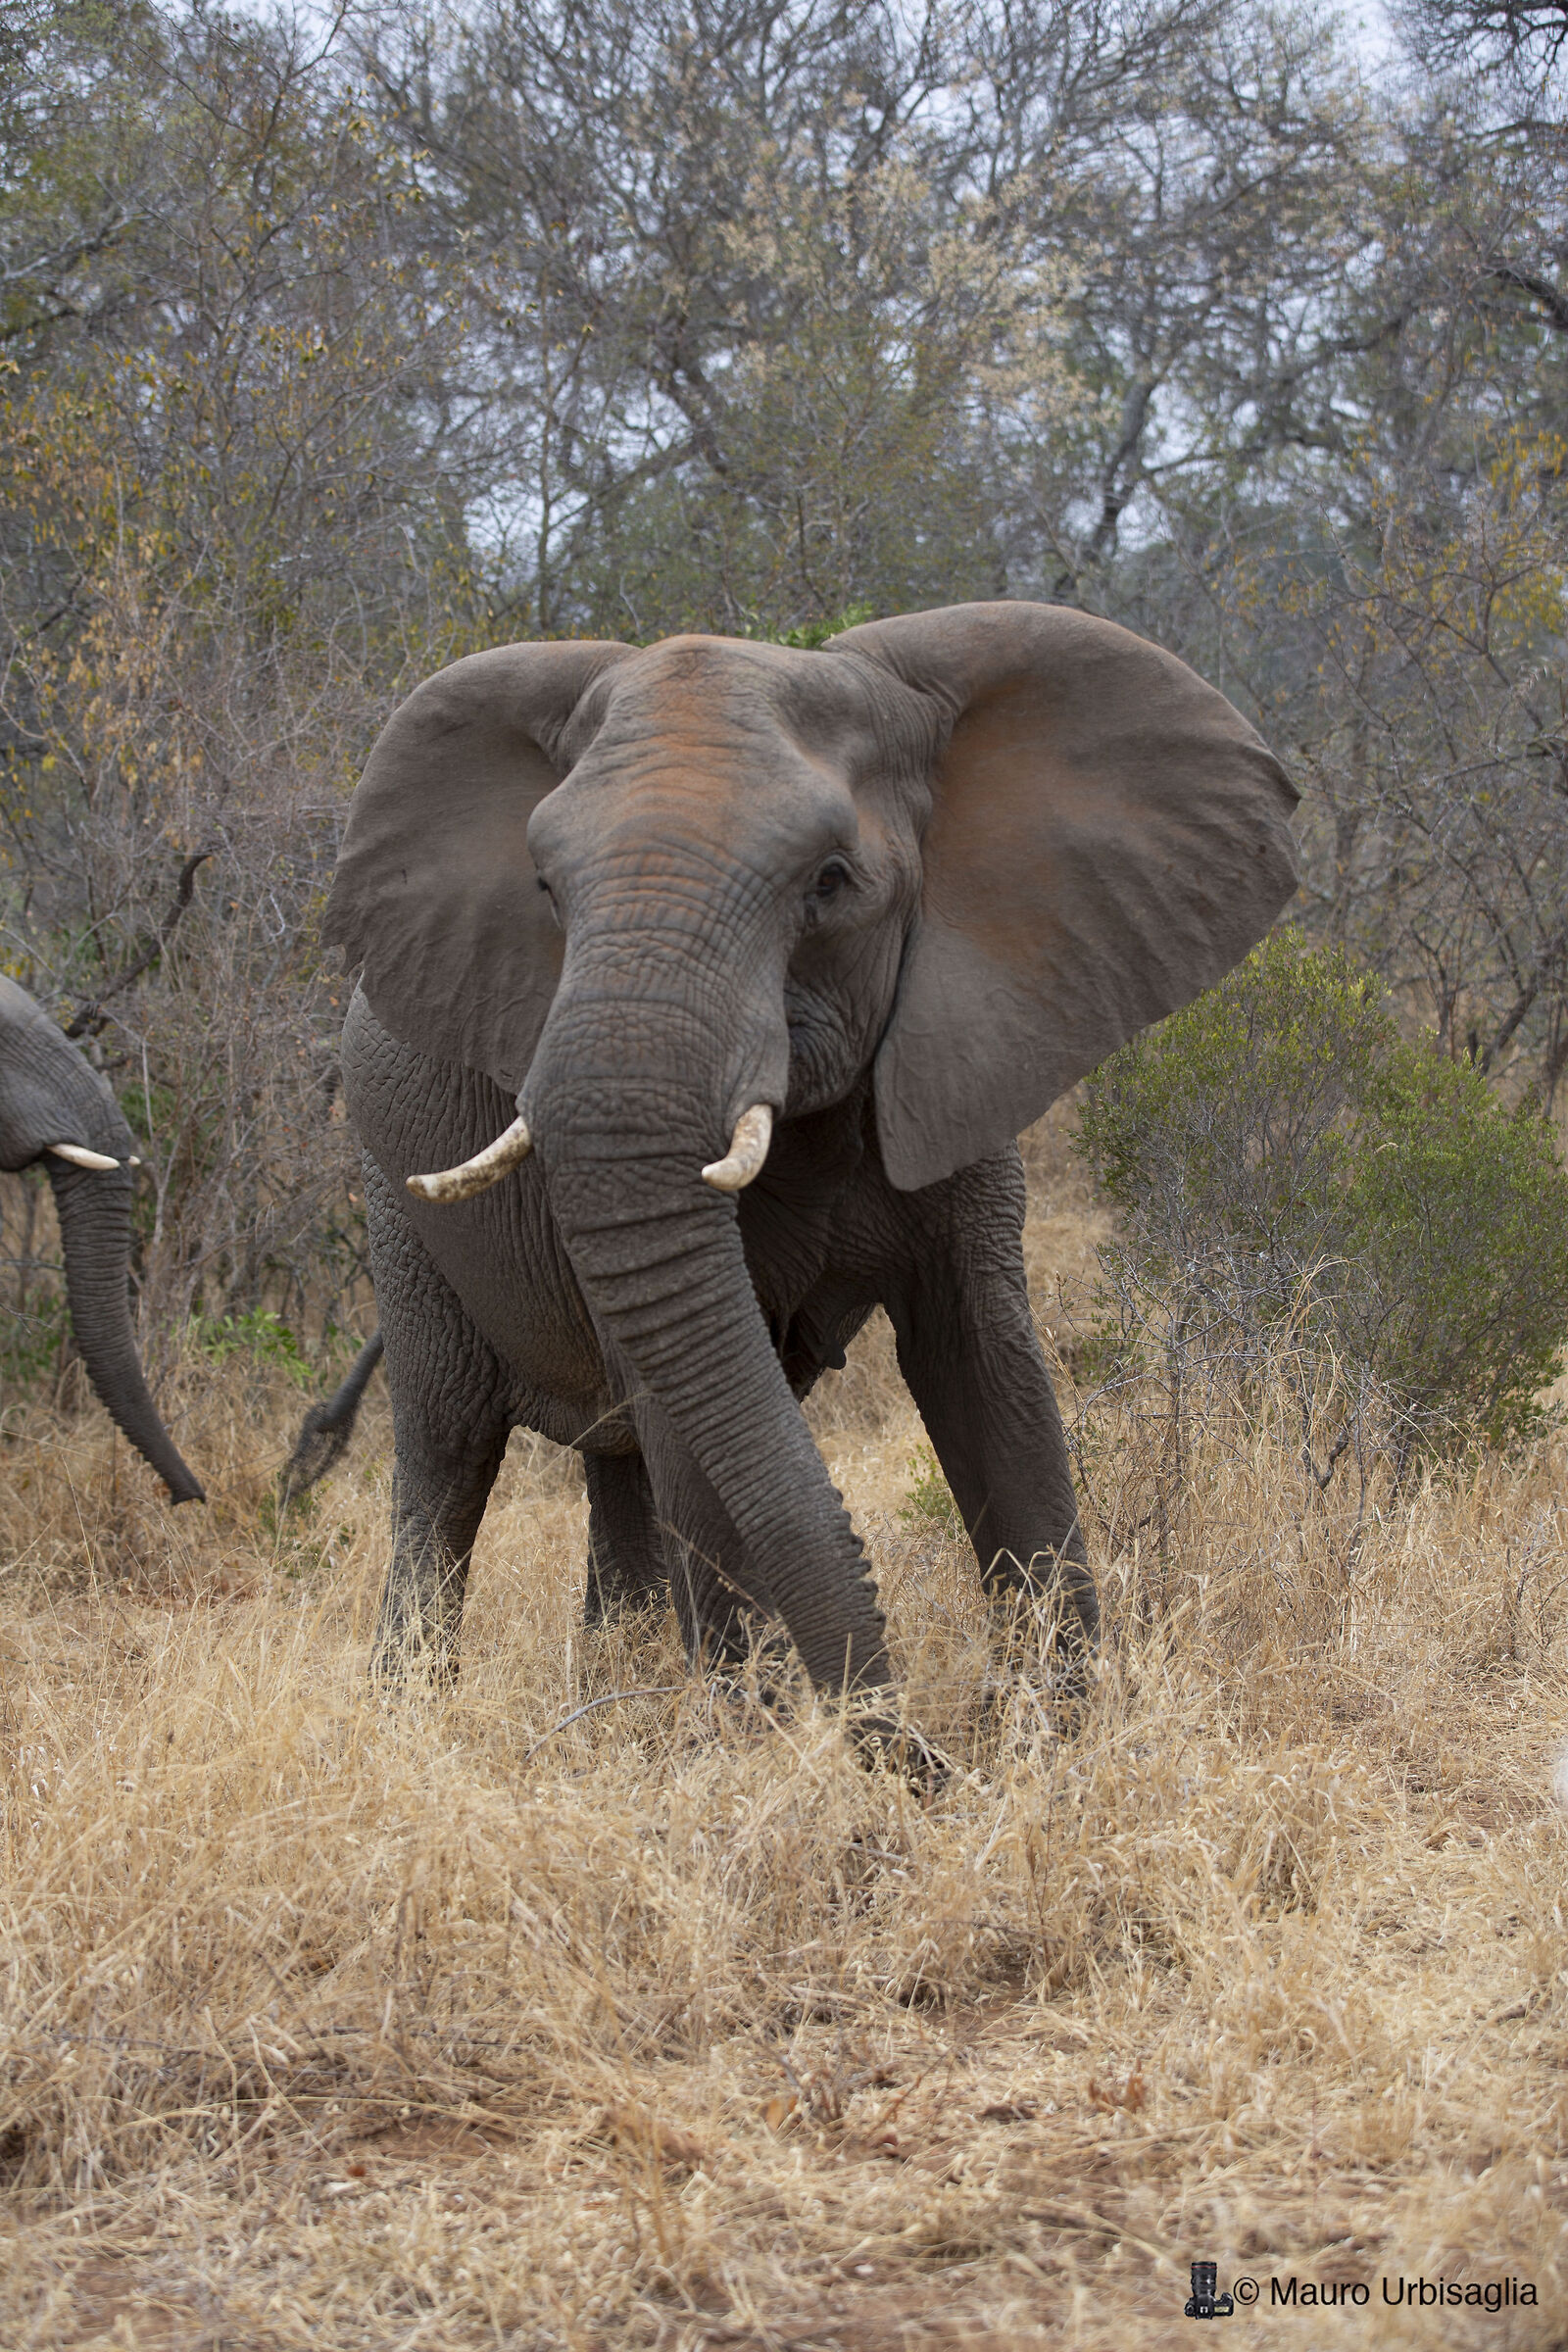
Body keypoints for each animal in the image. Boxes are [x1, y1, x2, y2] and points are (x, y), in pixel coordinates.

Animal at [325, 600, 1297, 1732]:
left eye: (829, 883)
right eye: (545, 891)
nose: (914, 1742)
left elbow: (987, 1372)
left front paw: (1050, 1737)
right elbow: (690, 1407)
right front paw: (764, 1749)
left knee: (612, 1464)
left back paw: (616, 1689)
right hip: (393, 1192)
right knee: (450, 1446)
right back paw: (420, 1711)